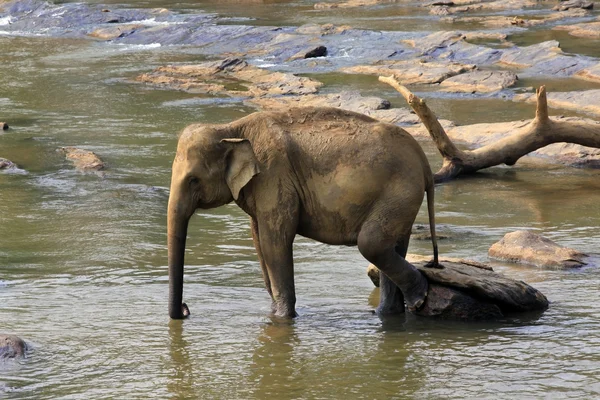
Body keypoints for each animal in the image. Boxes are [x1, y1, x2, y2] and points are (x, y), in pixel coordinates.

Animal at [166, 106, 438, 318]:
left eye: (193, 180)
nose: (186, 309)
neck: (231, 129)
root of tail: (424, 163)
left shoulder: (273, 176)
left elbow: (275, 241)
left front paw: (282, 319)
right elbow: (259, 241)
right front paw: (274, 313)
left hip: (399, 192)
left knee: (372, 243)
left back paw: (419, 298)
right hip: (401, 198)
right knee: (392, 245)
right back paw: (388, 314)